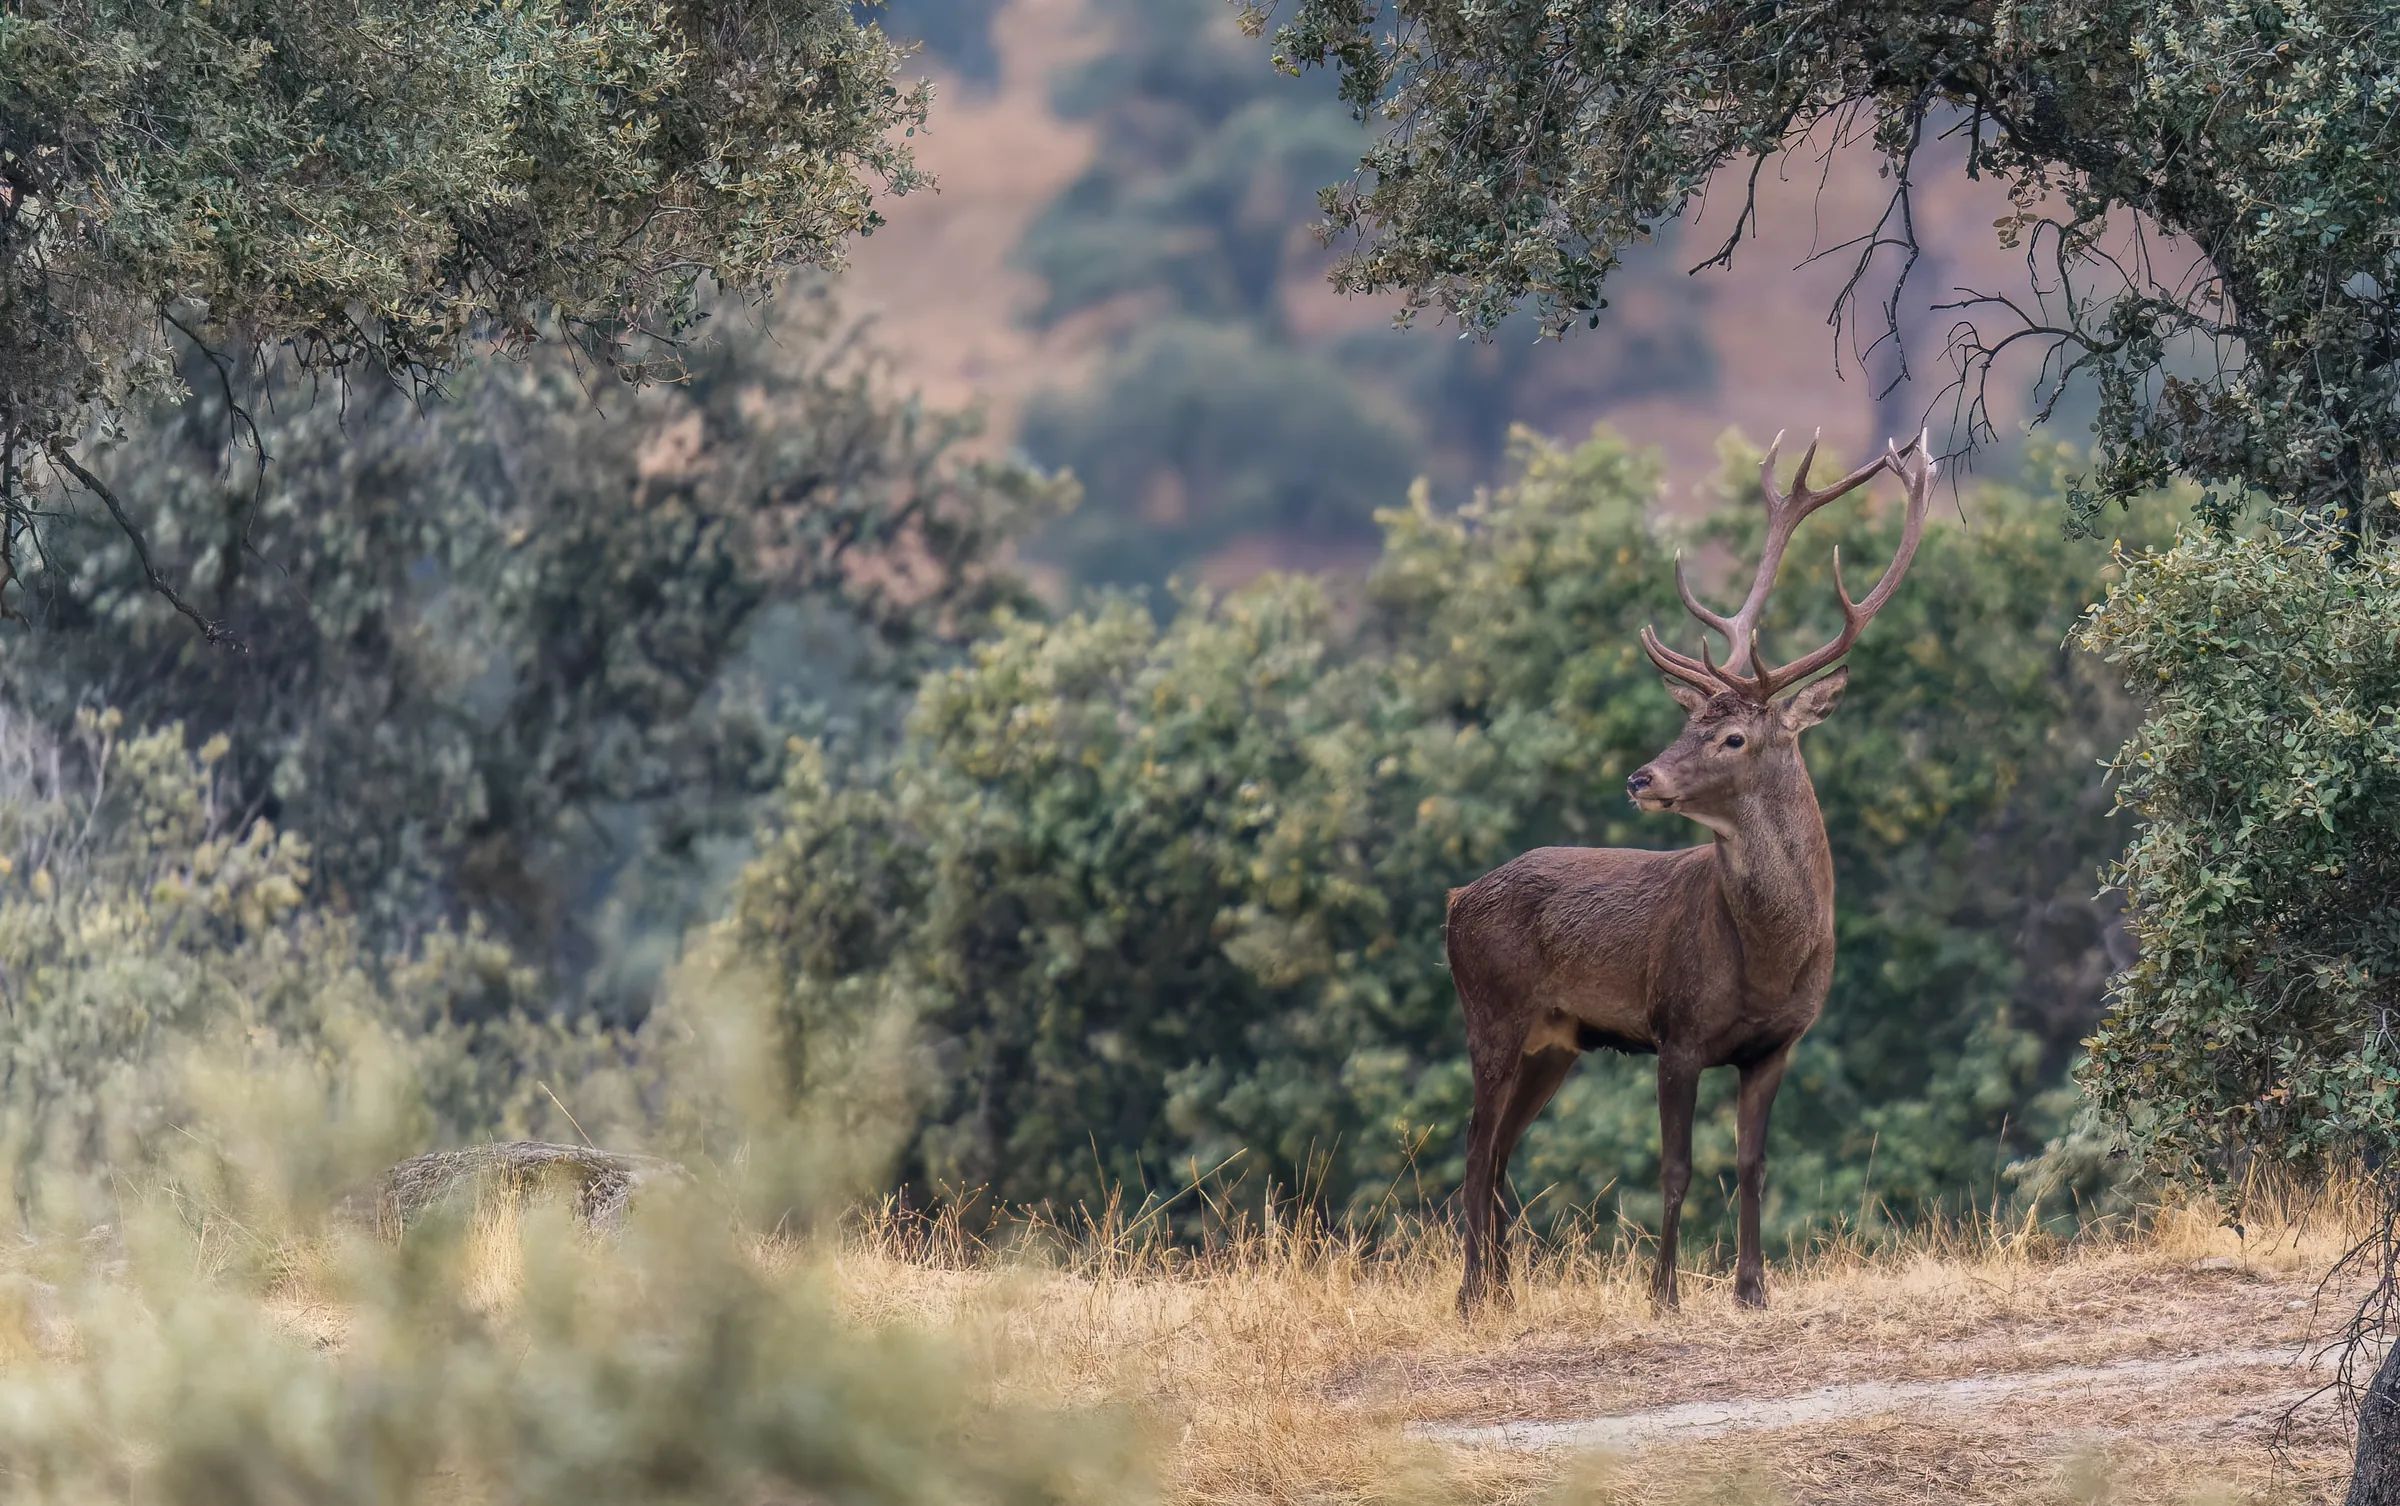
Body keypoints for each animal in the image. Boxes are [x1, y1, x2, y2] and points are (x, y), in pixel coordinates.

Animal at [1446, 429, 1934, 1314]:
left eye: (1733, 737)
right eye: (1687, 722)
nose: (1641, 778)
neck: (1769, 960)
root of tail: (1456, 900)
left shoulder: (1776, 1045)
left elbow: (1751, 1164)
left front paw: (1752, 1289)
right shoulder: (1676, 1031)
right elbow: (1674, 1168)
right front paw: (1665, 1294)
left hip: (1555, 1042)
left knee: (1497, 1154)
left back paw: (1503, 1293)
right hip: (1490, 1014)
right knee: (1472, 1152)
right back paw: (1472, 1298)